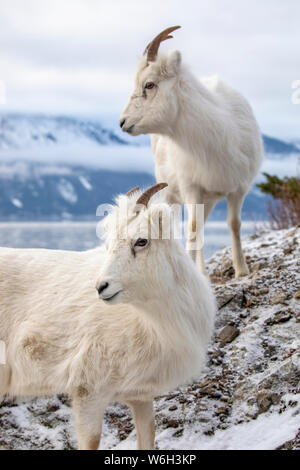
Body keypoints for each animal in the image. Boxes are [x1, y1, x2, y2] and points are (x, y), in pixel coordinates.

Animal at [0, 185, 216, 452]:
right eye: (108, 244)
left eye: (141, 241)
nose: (101, 287)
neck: (152, 324)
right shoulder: (88, 393)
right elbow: (91, 441)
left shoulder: (141, 396)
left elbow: (148, 438)